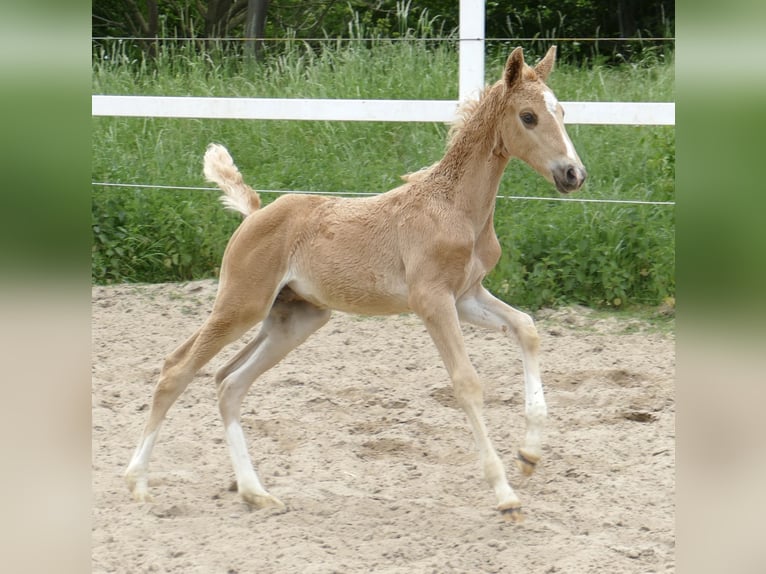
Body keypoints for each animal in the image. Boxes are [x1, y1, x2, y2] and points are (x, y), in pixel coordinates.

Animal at [126, 45, 588, 520]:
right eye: (528, 116)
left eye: (562, 111)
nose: (573, 174)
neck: (456, 208)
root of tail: (254, 213)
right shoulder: (432, 300)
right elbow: (467, 383)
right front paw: (505, 493)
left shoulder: (466, 296)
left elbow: (526, 328)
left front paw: (529, 455)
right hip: (241, 305)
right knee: (177, 369)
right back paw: (138, 483)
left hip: (296, 319)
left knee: (228, 383)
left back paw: (255, 491)